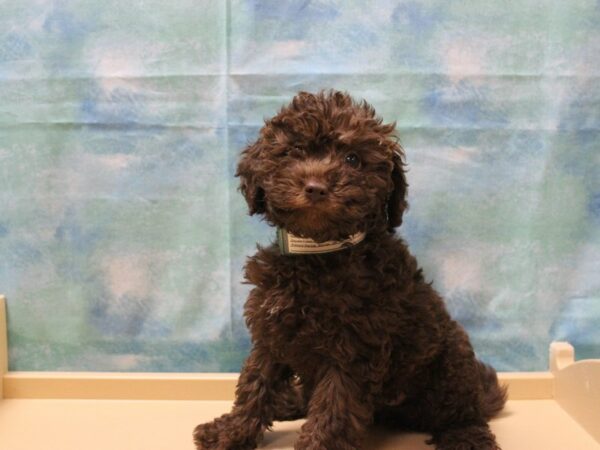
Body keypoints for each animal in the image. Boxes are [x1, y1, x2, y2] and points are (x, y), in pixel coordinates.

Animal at [193, 89, 506, 448]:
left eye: (353, 159)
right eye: (293, 152)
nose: (315, 187)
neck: (318, 253)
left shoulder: (354, 349)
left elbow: (334, 406)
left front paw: (316, 445)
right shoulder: (272, 331)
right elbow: (255, 384)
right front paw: (230, 432)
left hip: (449, 362)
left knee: (463, 412)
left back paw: (466, 436)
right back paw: (289, 402)